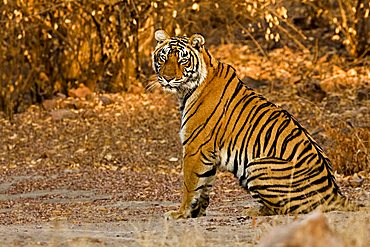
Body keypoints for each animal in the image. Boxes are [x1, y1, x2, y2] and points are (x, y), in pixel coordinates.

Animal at [150, 29, 346, 219]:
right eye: (164, 57)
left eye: (183, 60)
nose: (167, 78)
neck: (185, 91)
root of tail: (335, 194)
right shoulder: (208, 153)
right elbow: (204, 185)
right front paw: (196, 213)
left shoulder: (195, 147)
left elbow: (189, 184)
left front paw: (180, 213)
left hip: (256, 165)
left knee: (284, 209)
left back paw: (250, 212)